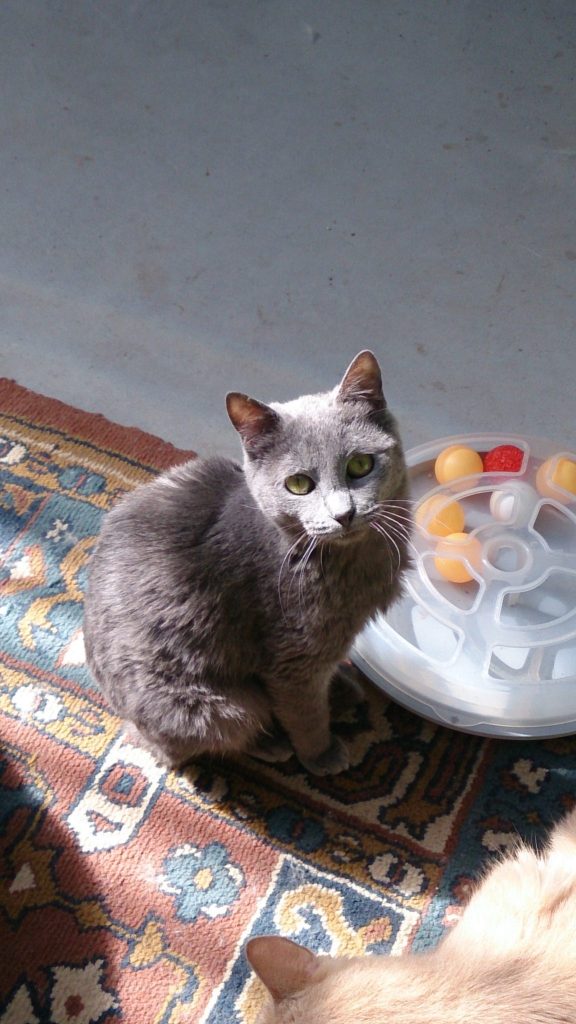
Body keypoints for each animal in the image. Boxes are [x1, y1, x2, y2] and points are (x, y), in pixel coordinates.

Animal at [83, 350, 410, 774]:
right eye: (299, 485)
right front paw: (320, 755)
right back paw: (273, 744)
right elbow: (305, 713)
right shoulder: (292, 658)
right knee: (197, 742)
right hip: (221, 707)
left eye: (360, 466)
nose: (343, 514)